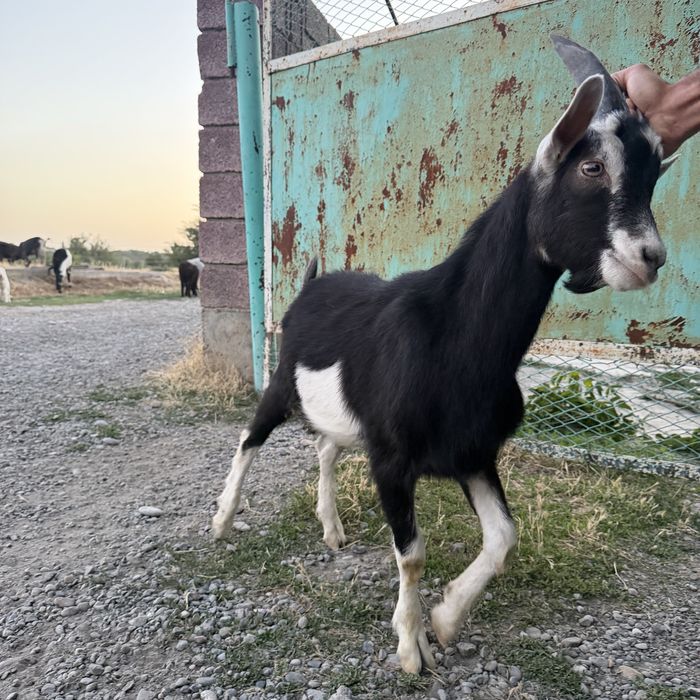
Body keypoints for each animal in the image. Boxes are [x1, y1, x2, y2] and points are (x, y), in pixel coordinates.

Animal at [212, 36, 676, 673]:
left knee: (327, 448)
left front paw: (447, 617)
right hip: (283, 382)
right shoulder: (392, 459)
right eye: (592, 167)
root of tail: (310, 284)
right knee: (249, 438)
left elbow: (505, 537)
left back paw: (331, 529)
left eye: (655, 171)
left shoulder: (473, 453)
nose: (649, 257)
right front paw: (412, 647)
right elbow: (411, 554)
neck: (455, 340)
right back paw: (220, 520)